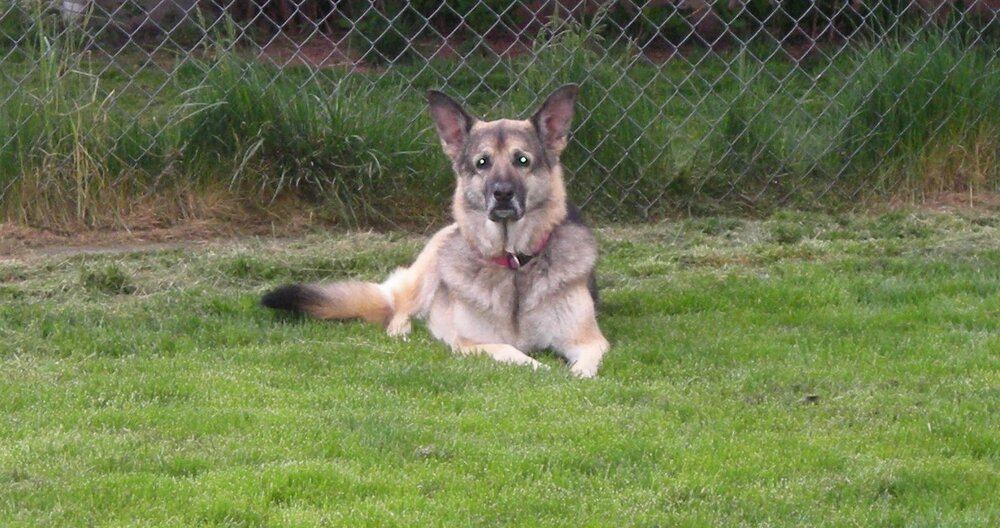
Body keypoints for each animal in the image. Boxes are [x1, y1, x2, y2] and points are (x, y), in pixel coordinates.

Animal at [262, 84, 608, 378]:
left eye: (522, 160)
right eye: (482, 163)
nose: (502, 194)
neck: (513, 265)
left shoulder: (589, 340)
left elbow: (585, 365)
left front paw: (573, 374)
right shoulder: (470, 344)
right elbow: (512, 352)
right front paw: (542, 368)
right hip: (429, 268)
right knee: (398, 307)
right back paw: (402, 329)